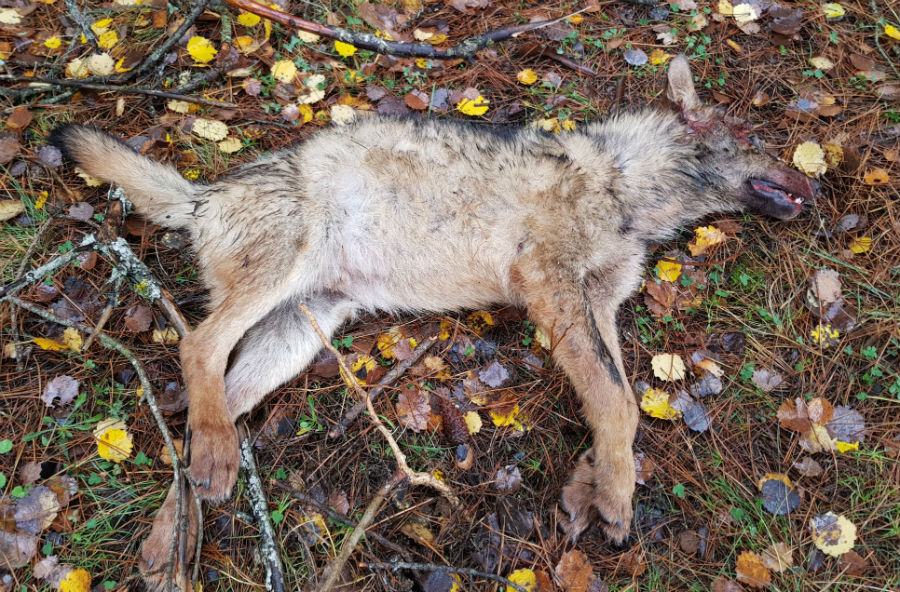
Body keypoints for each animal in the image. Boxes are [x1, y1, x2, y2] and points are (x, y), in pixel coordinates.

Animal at [50, 56, 817, 586]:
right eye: (754, 138)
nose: (814, 179)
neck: (626, 184)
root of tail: (206, 195)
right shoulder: (552, 289)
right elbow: (617, 402)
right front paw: (617, 498)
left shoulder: (595, 305)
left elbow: (617, 404)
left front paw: (590, 489)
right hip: (279, 283)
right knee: (196, 350)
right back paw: (209, 465)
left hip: (299, 333)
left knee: (199, 419)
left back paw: (168, 543)